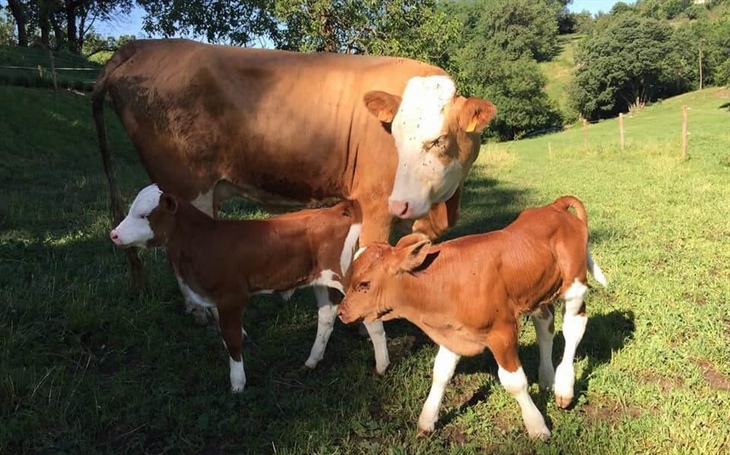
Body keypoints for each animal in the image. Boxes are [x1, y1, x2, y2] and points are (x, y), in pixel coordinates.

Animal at [92, 39, 494, 316]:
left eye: (439, 140)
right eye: (393, 134)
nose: (402, 203)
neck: (445, 198)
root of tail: (146, 45)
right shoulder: (375, 201)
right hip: (187, 186)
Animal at [109, 184, 390, 392]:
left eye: (144, 215)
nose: (113, 234)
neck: (201, 242)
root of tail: (336, 210)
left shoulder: (232, 297)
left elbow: (233, 340)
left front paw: (237, 385)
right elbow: (226, 336)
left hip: (346, 276)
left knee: (371, 320)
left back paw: (382, 366)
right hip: (320, 279)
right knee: (327, 316)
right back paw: (311, 361)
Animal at [338, 197, 604, 442]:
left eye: (364, 284)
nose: (341, 312)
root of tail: (555, 206)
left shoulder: (502, 331)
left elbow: (514, 382)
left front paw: (537, 426)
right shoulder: (453, 330)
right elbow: (441, 372)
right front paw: (427, 420)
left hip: (574, 285)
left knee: (573, 328)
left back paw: (564, 386)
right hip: (537, 293)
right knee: (545, 326)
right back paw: (548, 378)